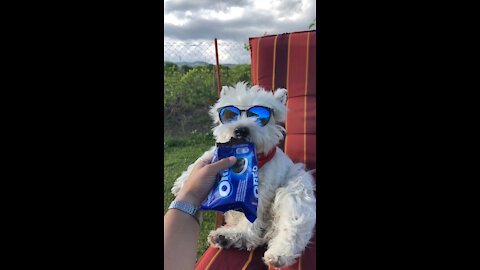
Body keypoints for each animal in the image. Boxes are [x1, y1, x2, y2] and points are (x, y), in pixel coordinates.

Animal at [171, 82, 316, 268]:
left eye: (260, 116)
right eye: (229, 114)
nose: (241, 130)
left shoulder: (261, 190)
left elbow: (253, 217)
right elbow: (207, 156)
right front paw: (183, 181)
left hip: (295, 189)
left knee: (290, 226)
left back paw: (275, 253)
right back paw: (225, 236)